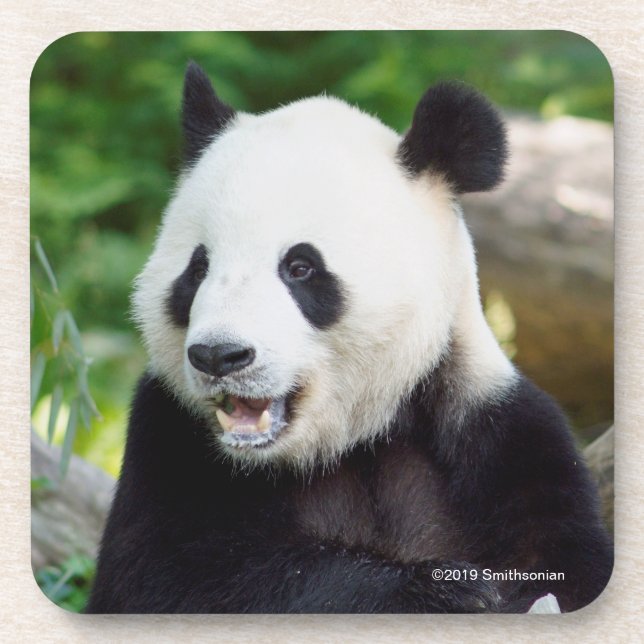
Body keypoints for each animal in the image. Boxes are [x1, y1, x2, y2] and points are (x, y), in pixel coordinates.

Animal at [87, 62, 613, 614]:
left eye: (300, 267)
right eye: (198, 268)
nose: (218, 355)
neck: (349, 442)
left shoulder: (500, 435)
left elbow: (563, 566)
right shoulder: (167, 436)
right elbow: (169, 581)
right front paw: (443, 592)